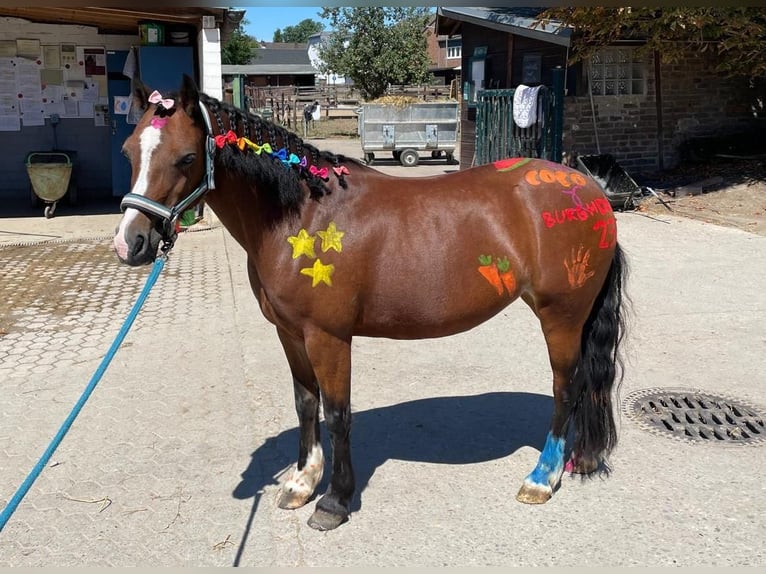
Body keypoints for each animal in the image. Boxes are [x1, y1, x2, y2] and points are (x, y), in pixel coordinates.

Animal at [115, 76, 632, 536]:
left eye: (185, 157)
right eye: (128, 151)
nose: (129, 244)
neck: (302, 213)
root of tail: (588, 189)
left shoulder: (328, 337)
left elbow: (338, 413)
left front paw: (334, 502)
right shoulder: (290, 333)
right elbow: (306, 404)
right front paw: (302, 482)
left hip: (561, 315)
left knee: (567, 387)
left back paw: (542, 478)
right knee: (587, 384)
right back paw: (581, 458)